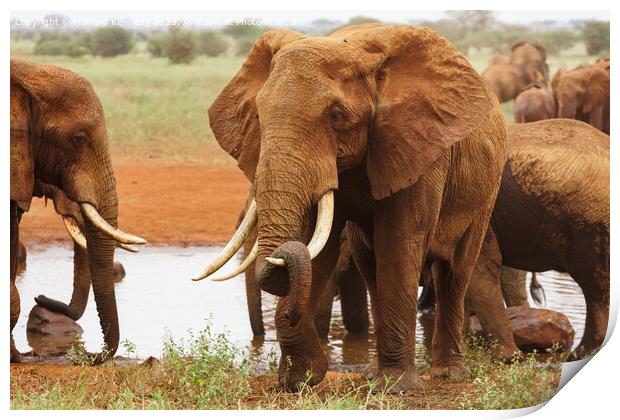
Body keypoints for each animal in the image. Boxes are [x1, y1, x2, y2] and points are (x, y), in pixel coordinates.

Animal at [195, 23, 508, 392]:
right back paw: (373, 372)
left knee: (454, 273)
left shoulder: (419, 147)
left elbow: (399, 242)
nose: (278, 257)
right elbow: (318, 247)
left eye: (336, 116)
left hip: (486, 189)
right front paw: (300, 380)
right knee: (371, 268)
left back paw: (448, 374)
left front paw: (396, 387)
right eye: (258, 115)